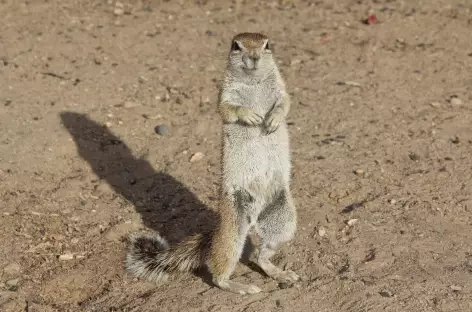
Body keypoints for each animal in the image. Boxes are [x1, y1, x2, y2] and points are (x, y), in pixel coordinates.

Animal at [125, 33, 298, 294]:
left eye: (267, 44)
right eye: (236, 45)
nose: (254, 57)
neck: (253, 82)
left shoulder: (280, 89)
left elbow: (284, 103)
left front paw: (273, 119)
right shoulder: (224, 95)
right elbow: (228, 109)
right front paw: (250, 115)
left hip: (284, 219)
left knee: (260, 255)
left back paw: (279, 273)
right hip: (233, 230)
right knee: (220, 271)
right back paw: (239, 286)